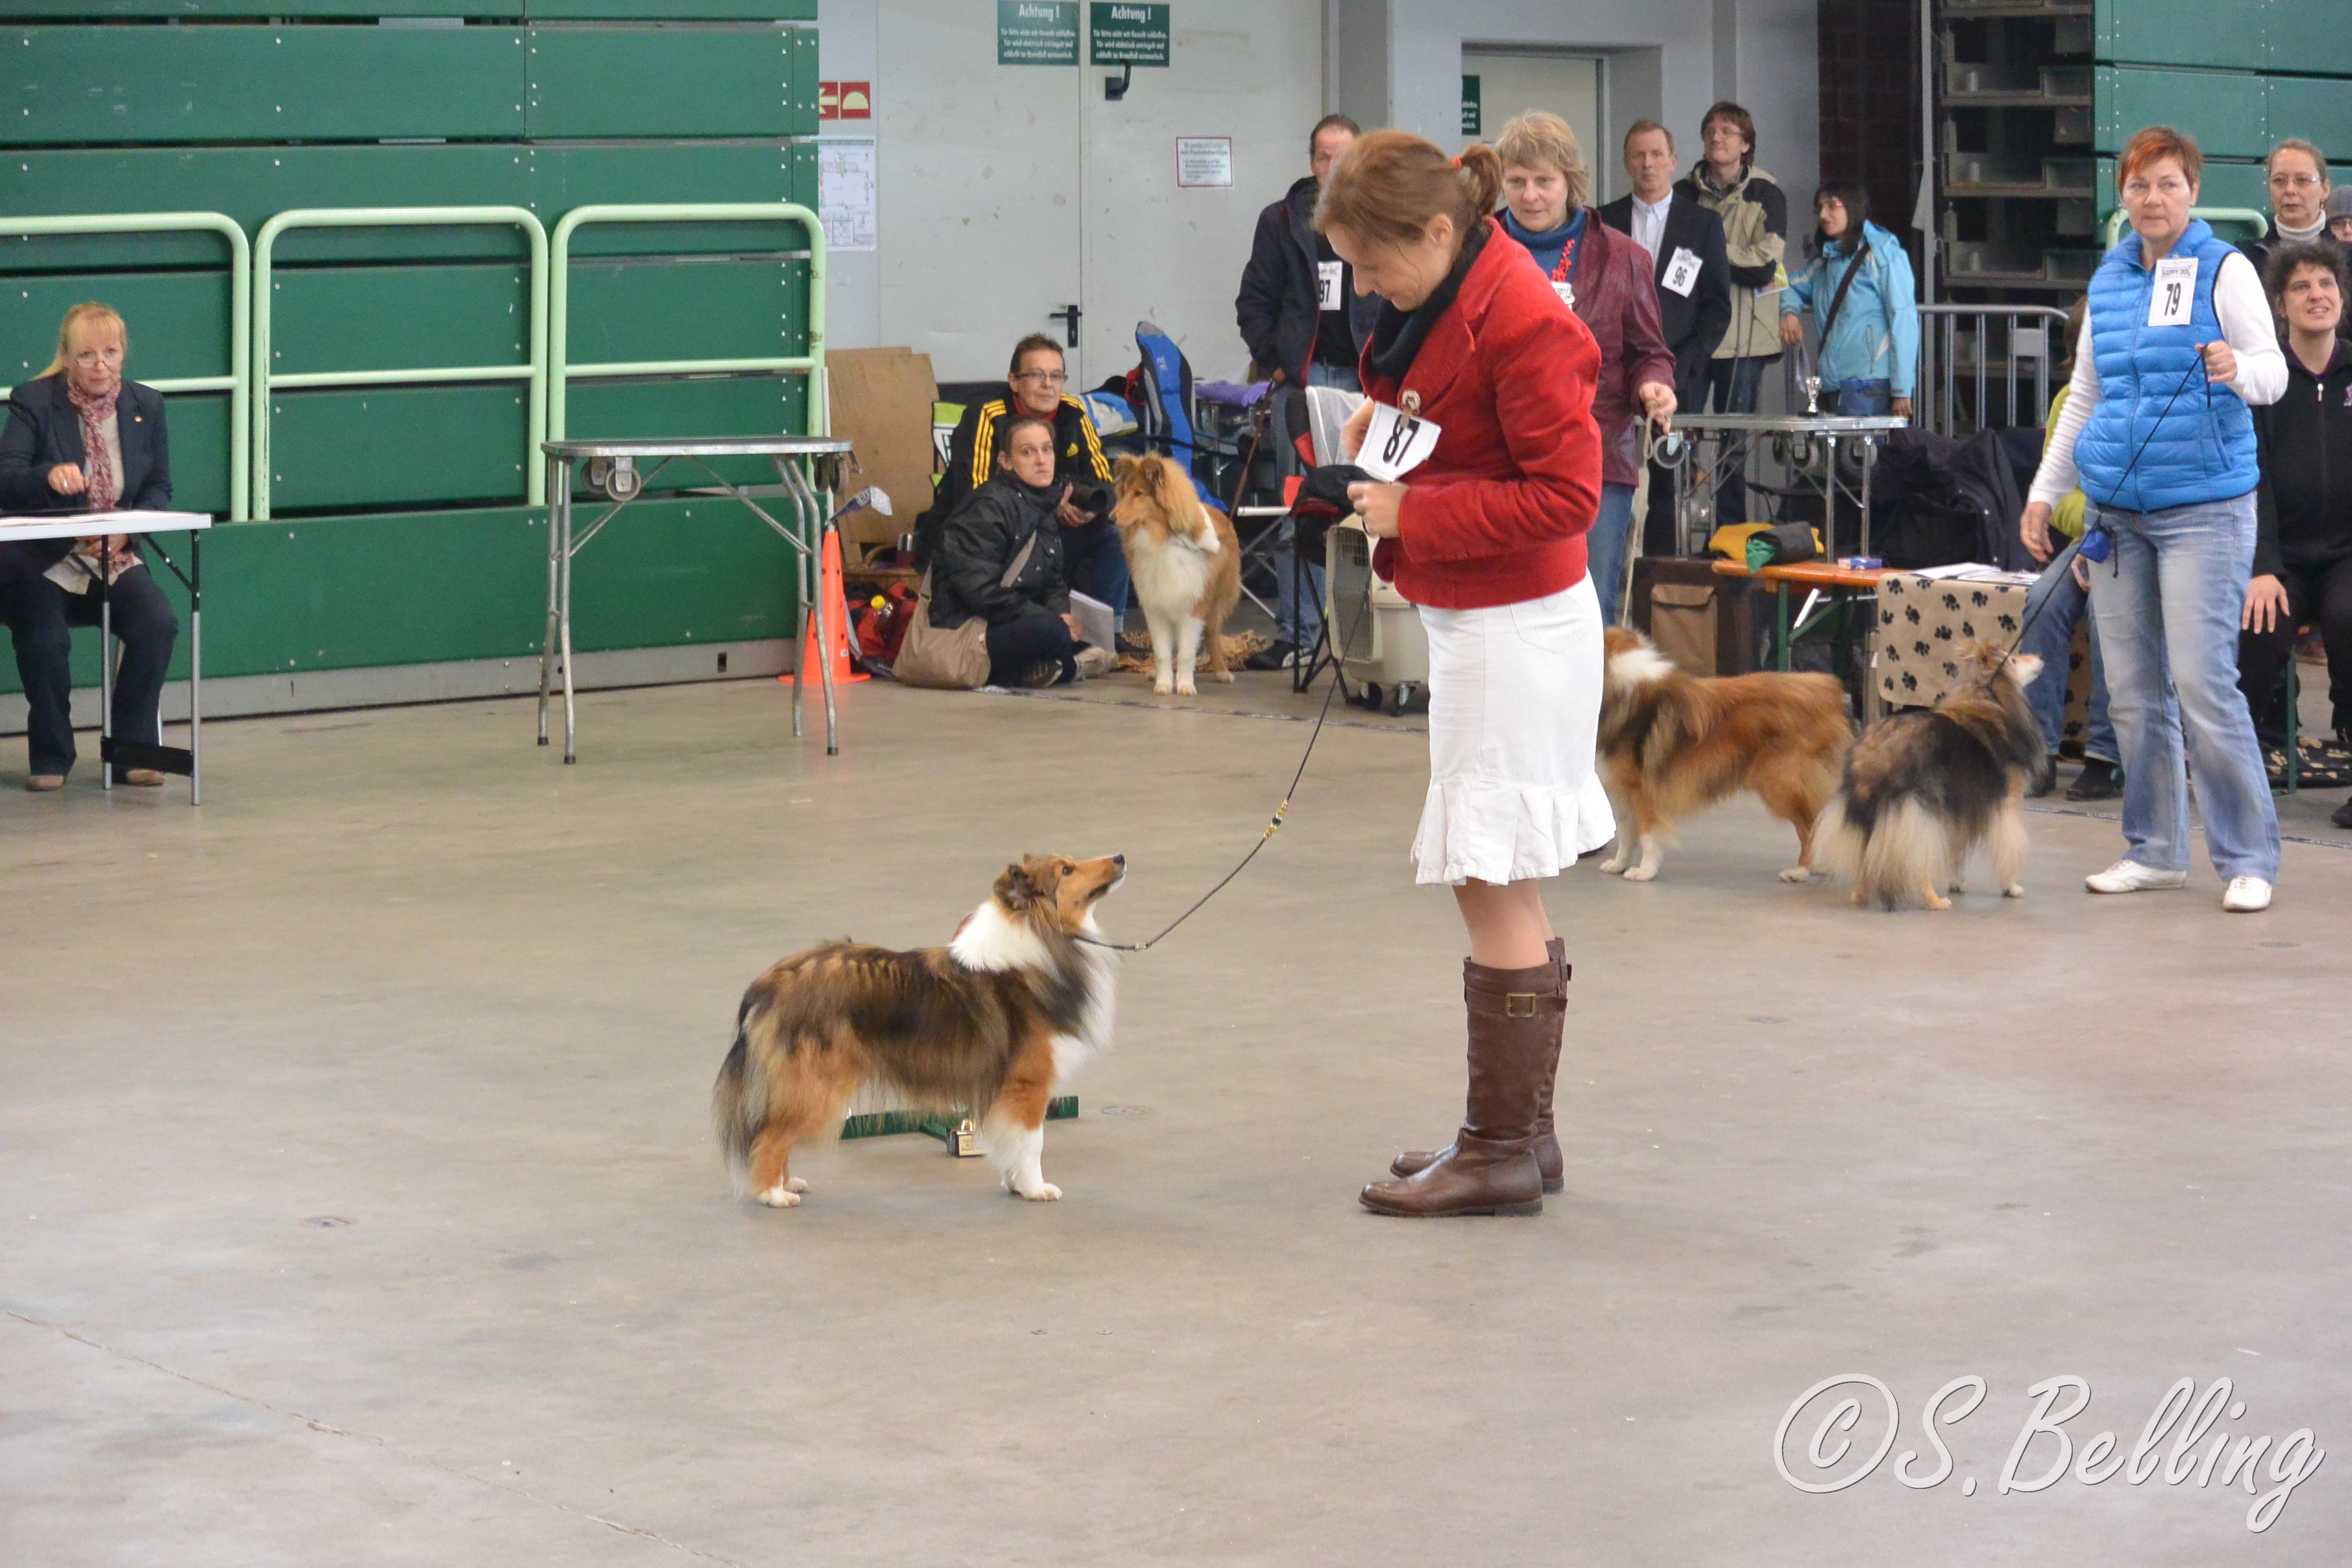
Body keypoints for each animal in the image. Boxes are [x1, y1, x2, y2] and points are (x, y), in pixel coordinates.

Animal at [710, 851, 1124, 1213]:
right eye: (1066, 870)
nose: (1120, 858)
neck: (1039, 937)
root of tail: (770, 983)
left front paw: (1016, 1184)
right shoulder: (1028, 1085)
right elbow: (1032, 1142)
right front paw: (1036, 1189)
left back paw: (787, 1182)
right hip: (817, 1085)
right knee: (768, 1138)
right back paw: (773, 1195)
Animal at [1105, 453, 1242, 700]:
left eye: (1139, 494)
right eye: (1126, 492)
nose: (1110, 519)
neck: (1164, 539)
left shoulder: (1193, 607)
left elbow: (1188, 652)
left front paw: (1186, 686)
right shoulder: (1156, 607)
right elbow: (1162, 652)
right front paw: (1164, 684)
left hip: (1218, 600)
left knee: (1213, 634)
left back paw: (1222, 672)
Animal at [1590, 630, 1863, 888]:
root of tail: (1831, 693)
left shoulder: (1643, 791)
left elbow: (1647, 835)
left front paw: (1644, 872)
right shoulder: (1623, 791)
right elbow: (1627, 835)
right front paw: (1619, 865)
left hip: (1781, 783)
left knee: (1811, 827)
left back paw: (1800, 872)